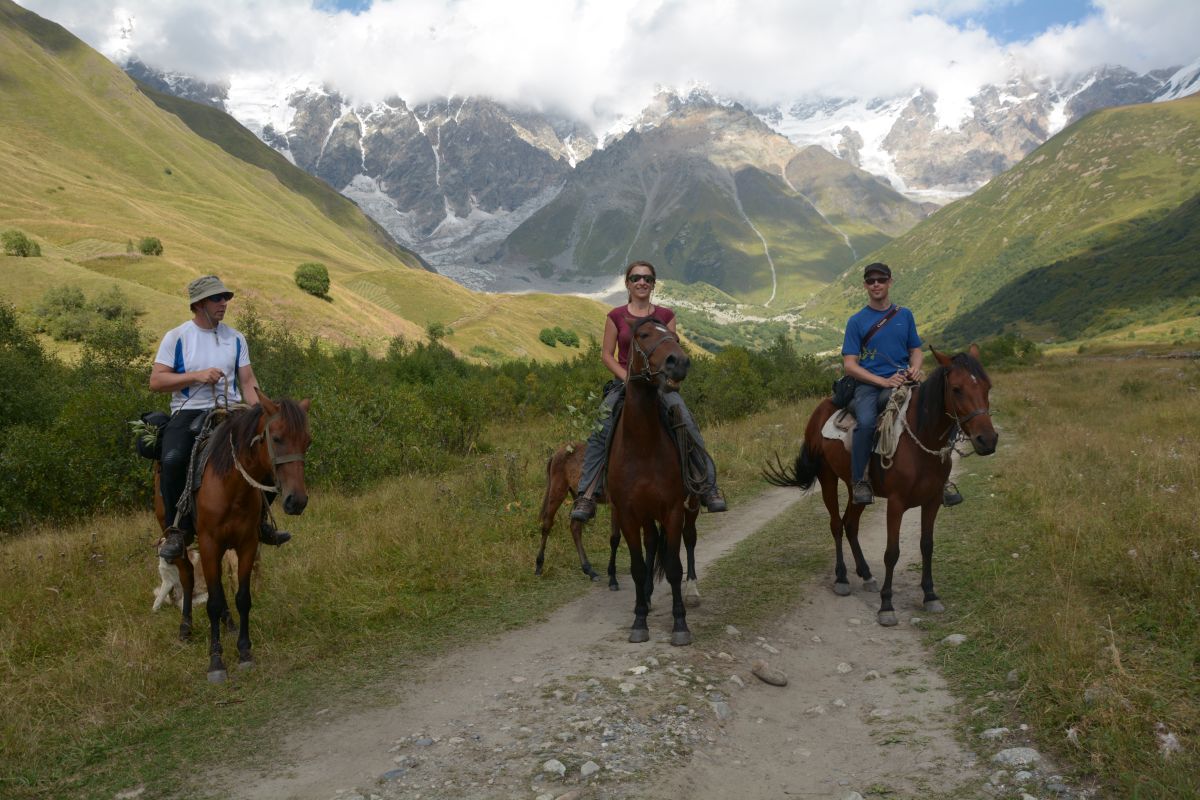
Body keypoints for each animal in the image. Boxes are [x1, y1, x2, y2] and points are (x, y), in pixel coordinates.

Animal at [154, 391, 312, 686]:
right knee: (188, 579)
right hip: (181, 541)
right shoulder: (208, 544)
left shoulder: (246, 545)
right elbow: (212, 603)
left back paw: (229, 624)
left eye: (307, 441)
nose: (296, 501)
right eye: (276, 438)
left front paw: (244, 652)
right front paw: (216, 662)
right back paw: (185, 629)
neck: (230, 486)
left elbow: (241, 597)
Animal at [535, 443, 700, 599]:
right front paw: (613, 579)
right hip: (557, 491)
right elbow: (615, 538)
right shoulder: (618, 507)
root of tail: (557, 453)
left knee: (575, 527)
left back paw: (590, 570)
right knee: (547, 524)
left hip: (576, 495)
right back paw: (538, 566)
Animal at [609, 316, 696, 647]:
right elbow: (637, 567)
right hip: (646, 515)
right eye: (643, 335)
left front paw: (680, 624)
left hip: (690, 507)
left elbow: (673, 566)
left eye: (675, 336)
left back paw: (692, 590)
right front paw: (639, 620)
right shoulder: (628, 514)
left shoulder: (673, 509)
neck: (643, 446)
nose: (679, 362)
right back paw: (645, 597)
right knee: (651, 543)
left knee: (690, 540)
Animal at [763, 347, 998, 628]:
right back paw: (842, 578)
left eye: (987, 386)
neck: (920, 441)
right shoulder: (896, 504)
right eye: (956, 389)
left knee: (850, 524)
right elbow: (892, 553)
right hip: (828, 478)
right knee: (836, 525)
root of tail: (820, 410)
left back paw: (866, 575)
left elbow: (927, 546)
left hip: (857, 489)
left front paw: (930, 595)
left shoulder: (932, 501)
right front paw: (886, 606)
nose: (988, 440)